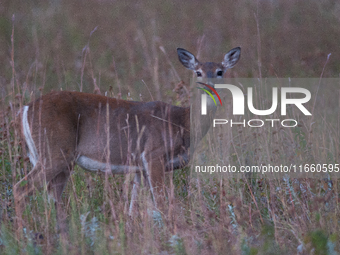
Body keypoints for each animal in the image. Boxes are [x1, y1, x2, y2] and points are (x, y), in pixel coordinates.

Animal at [14, 46, 240, 222]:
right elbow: (161, 204)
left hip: (58, 160)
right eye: (198, 72)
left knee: (52, 198)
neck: (181, 123)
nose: (209, 87)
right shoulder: (154, 154)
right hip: (54, 152)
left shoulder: (140, 167)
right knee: (20, 189)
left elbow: (136, 208)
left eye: (220, 71)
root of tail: (26, 108)